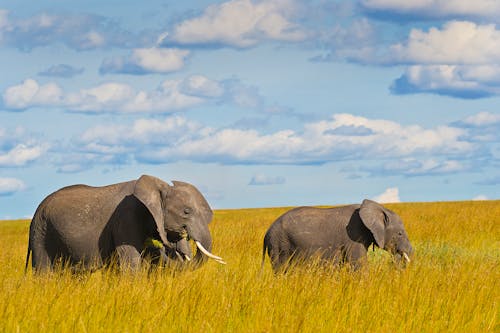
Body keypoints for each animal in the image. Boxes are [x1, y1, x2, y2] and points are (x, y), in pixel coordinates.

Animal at [25, 174, 225, 272]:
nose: (159, 248)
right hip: (41, 232)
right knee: (44, 272)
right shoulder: (125, 217)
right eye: (186, 212)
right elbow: (131, 261)